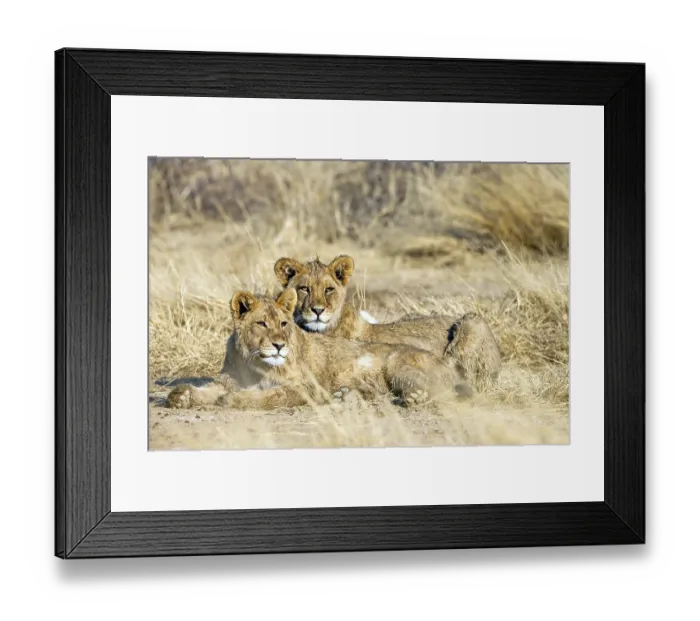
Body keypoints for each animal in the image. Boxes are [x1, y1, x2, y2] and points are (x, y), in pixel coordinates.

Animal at [166, 288, 471, 411]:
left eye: (284, 323)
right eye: (262, 323)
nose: (279, 346)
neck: (253, 362)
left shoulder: (306, 387)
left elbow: (271, 396)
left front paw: (235, 401)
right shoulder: (230, 379)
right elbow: (210, 389)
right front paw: (181, 396)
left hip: (398, 363)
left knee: (439, 392)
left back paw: (413, 398)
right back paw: (346, 397)